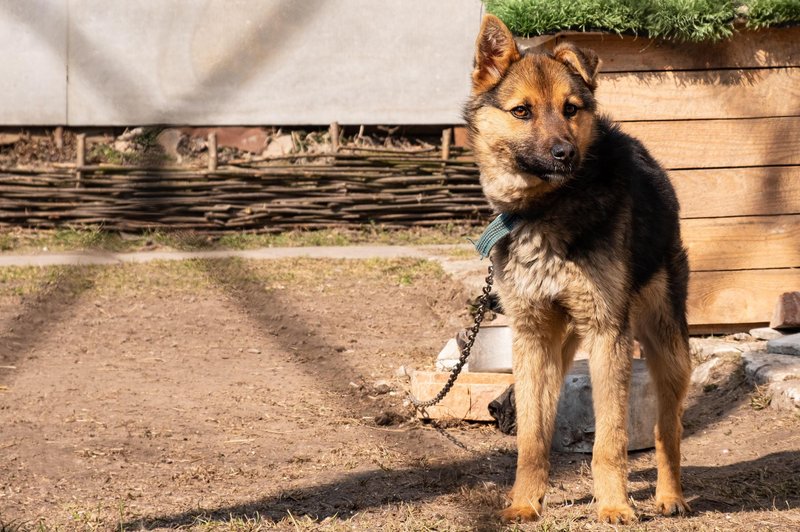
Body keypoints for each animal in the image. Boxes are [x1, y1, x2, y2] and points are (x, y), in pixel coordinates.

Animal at [462, 15, 692, 524]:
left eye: (570, 109)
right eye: (522, 111)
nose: (564, 153)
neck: (544, 210)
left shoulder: (608, 334)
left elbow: (610, 440)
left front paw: (614, 505)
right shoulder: (531, 337)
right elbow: (532, 439)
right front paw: (524, 502)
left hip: (669, 349)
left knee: (668, 428)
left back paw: (670, 496)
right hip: (559, 347)